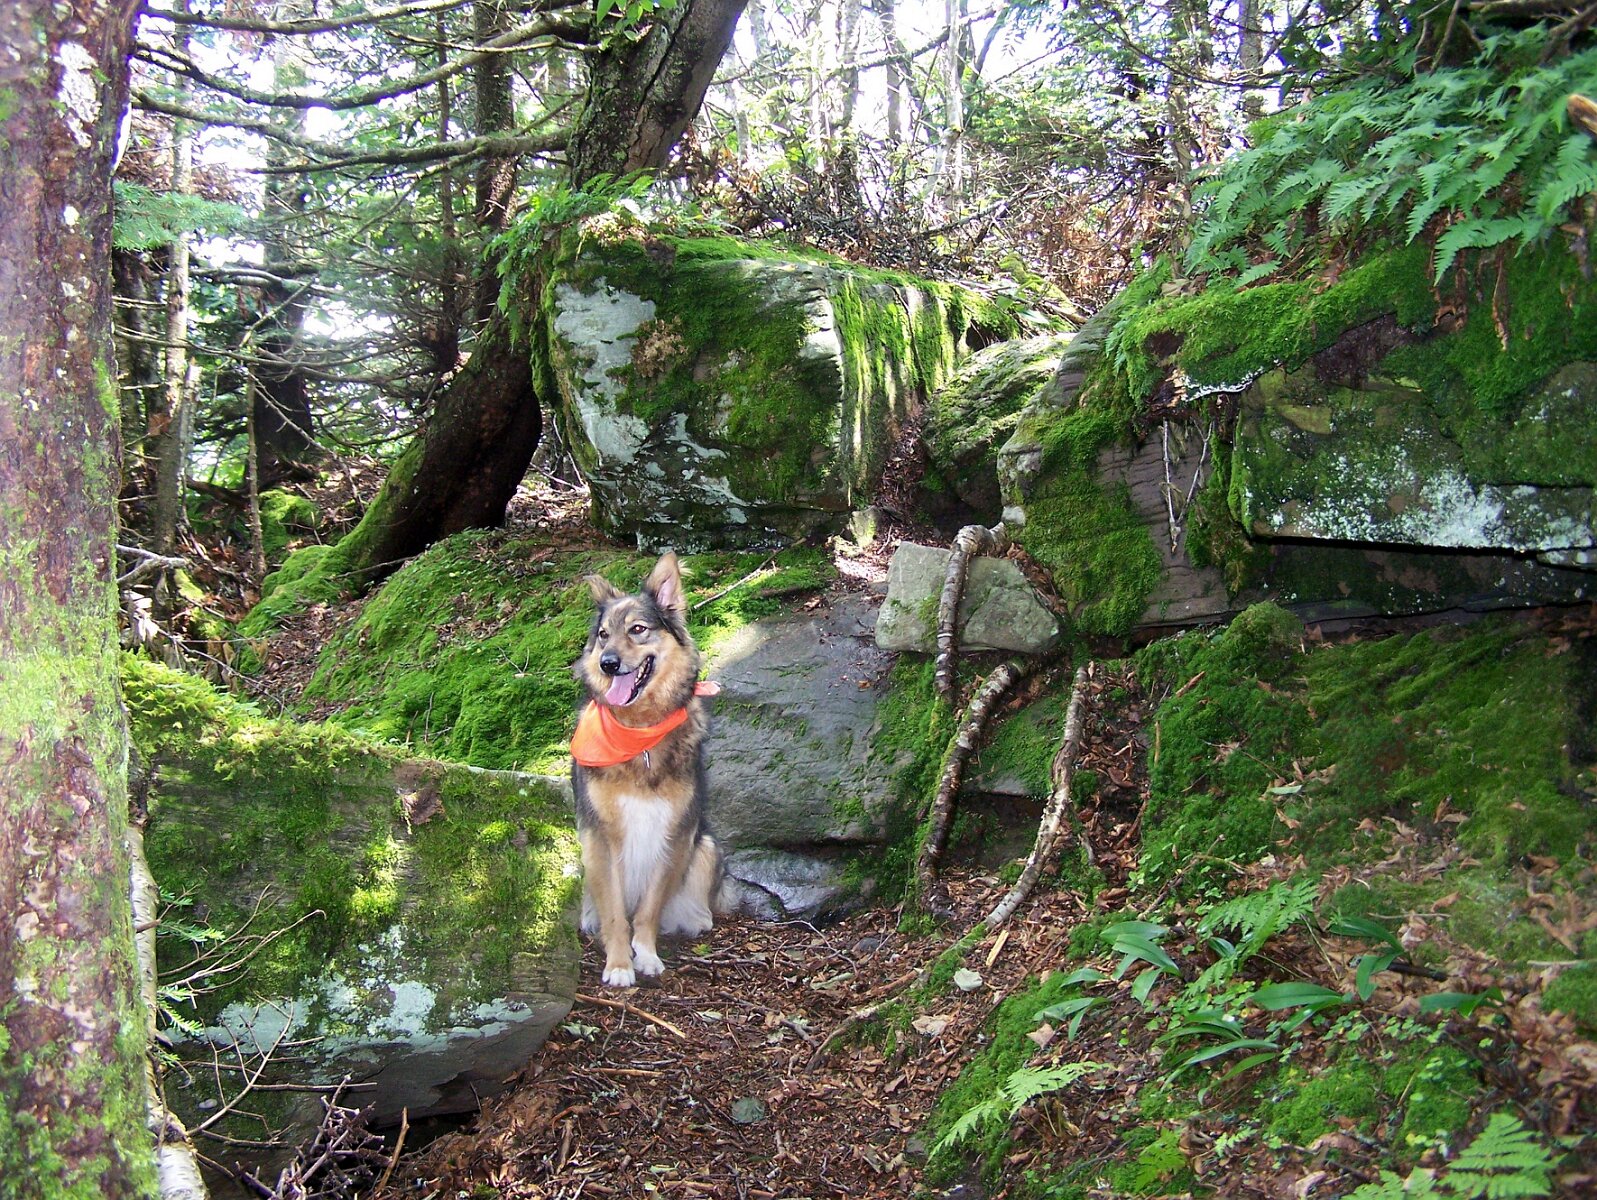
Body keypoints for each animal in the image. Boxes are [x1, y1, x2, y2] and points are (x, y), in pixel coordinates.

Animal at [571, 552, 721, 987]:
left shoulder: (675, 833)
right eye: (603, 635)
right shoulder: (600, 837)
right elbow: (616, 914)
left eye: (638, 630)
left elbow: (649, 909)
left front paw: (647, 954)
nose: (608, 664)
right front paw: (620, 964)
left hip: (707, 846)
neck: (639, 731)